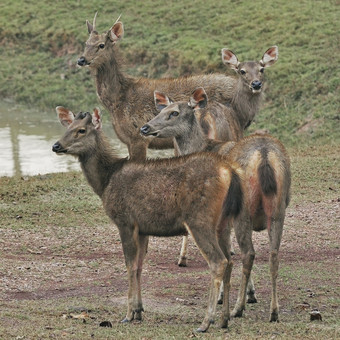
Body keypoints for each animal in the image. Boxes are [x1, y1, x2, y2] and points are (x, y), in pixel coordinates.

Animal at [51, 105, 244, 332]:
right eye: (67, 127)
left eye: (81, 130)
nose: (56, 145)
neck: (106, 181)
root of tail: (229, 173)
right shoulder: (143, 228)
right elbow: (139, 267)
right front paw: (139, 311)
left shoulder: (125, 221)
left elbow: (129, 265)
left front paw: (128, 314)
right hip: (223, 223)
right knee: (230, 261)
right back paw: (224, 319)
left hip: (199, 220)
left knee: (218, 261)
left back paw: (206, 322)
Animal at [141, 87, 292, 322]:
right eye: (161, 109)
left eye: (174, 112)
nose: (145, 127)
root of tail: (264, 155)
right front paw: (251, 294)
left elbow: (227, 256)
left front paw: (227, 297)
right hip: (279, 207)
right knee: (274, 255)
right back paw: (273, 311)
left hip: (243, 209)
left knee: (249, 254)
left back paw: (238, 308)